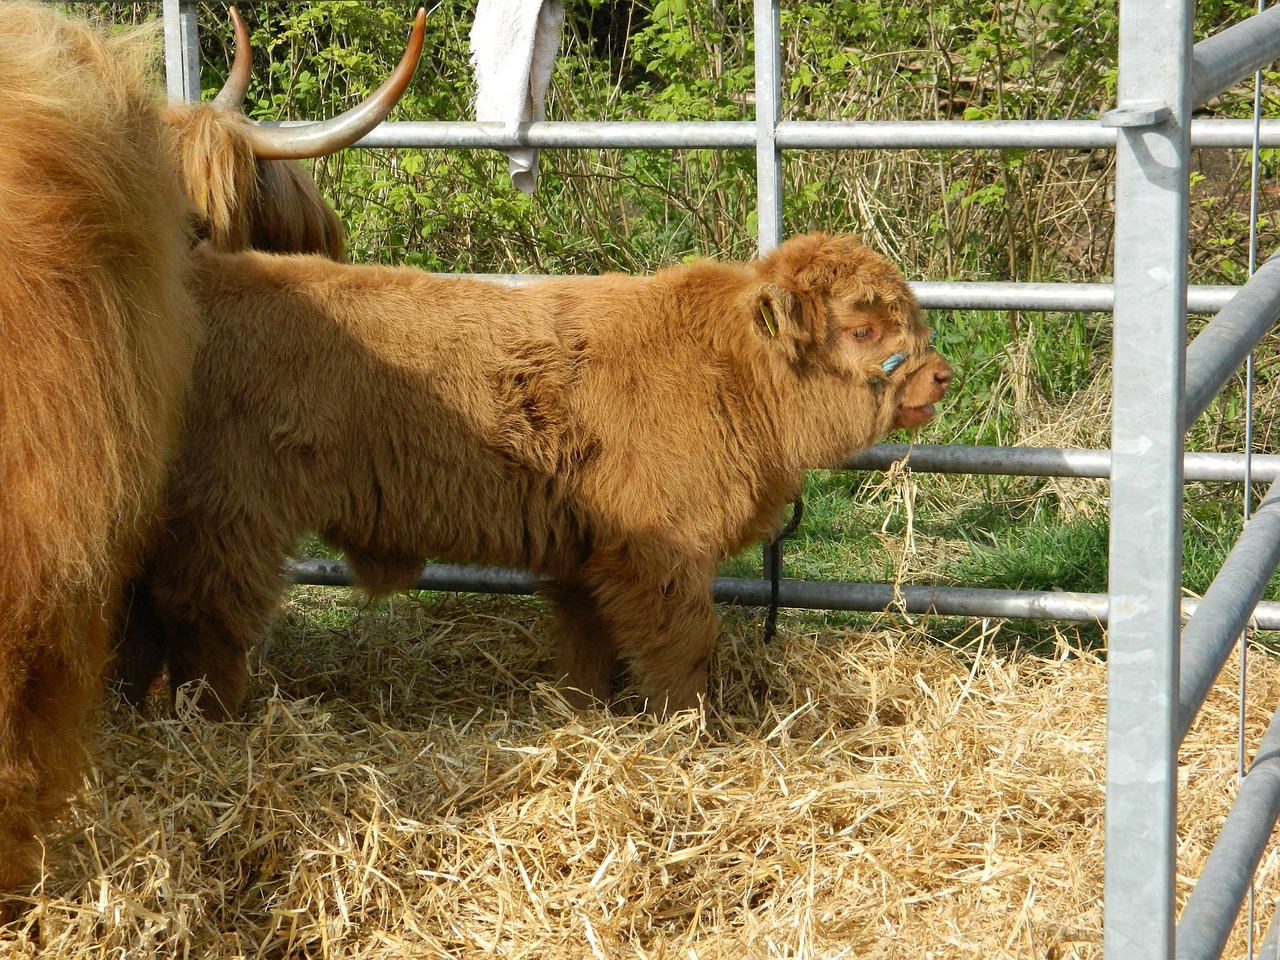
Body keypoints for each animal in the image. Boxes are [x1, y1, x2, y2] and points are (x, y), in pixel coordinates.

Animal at [119, 234, 952, 721]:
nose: (941, 376)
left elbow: (590, 648)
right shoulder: (663, 553)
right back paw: (219, 723)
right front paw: (691, 729)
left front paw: (586, 716)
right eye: (863, 328)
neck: (726, 368)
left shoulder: (588, 556)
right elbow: (684, 649)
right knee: (204, 619)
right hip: (229, 519)